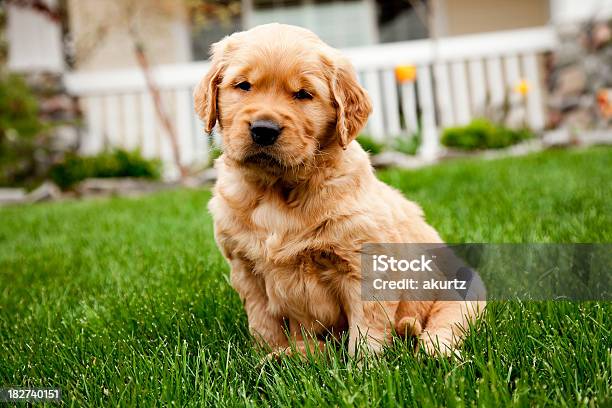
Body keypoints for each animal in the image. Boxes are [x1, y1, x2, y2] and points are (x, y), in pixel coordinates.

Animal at [194, 23, 486, 356]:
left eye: (303, 94)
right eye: (243, 86)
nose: (263, 130)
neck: (277, 189)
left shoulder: (365, 267)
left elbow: (367, 332)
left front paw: (364, 367)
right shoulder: (247, 271)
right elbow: (263, 325)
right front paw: (266, 352)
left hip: (468, 292)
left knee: (442, 329)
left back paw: (432, 351)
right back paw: (287, 357)